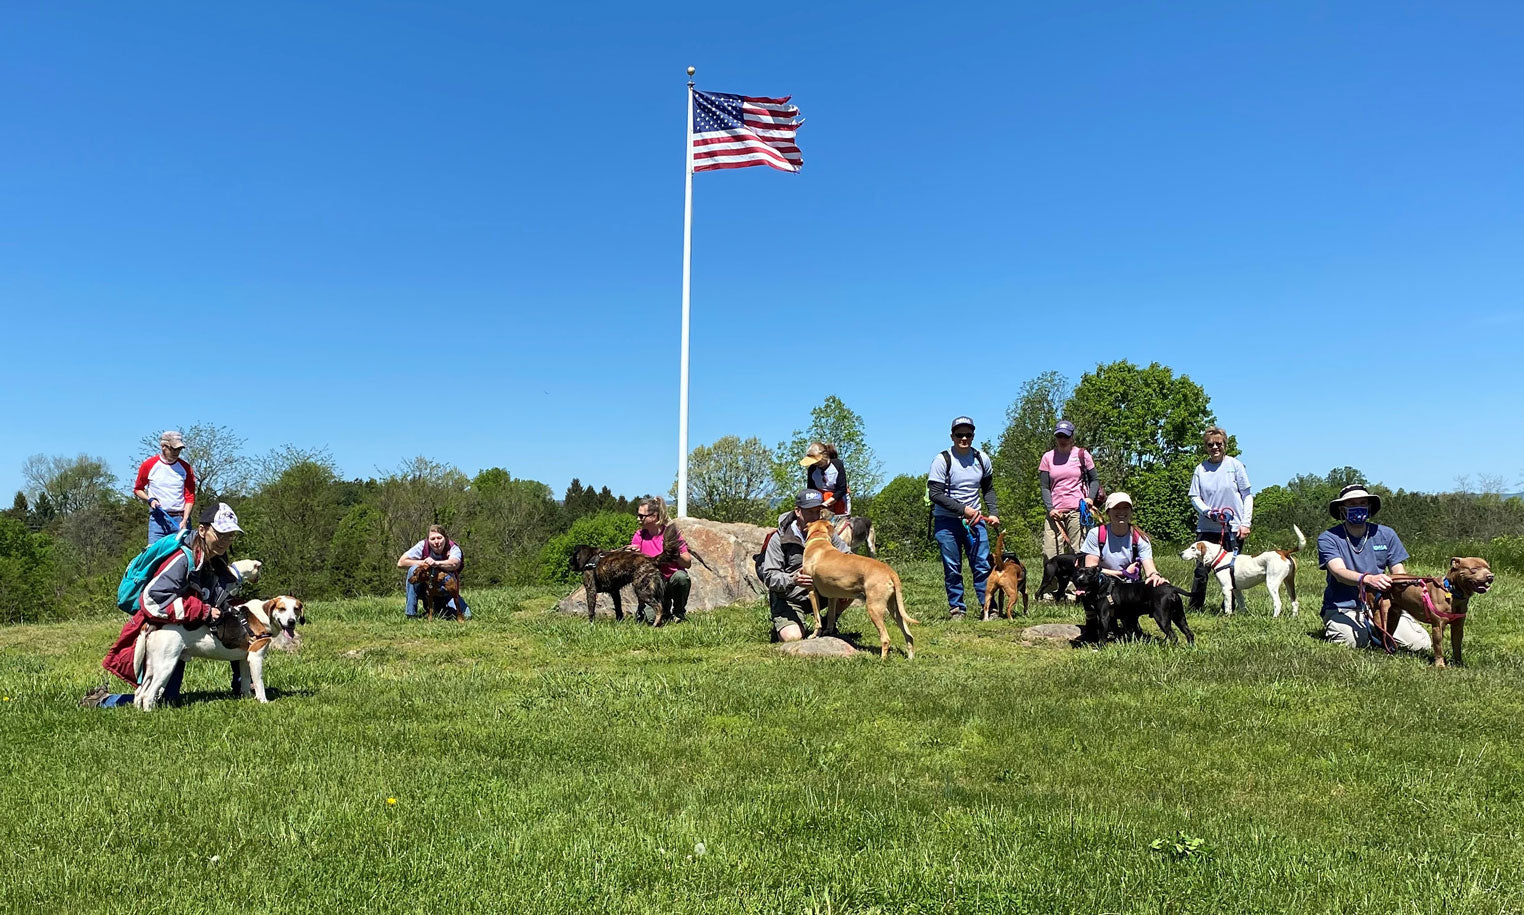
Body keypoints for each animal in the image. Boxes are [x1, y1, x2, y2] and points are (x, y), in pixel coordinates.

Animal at [135, 597, 304, 710]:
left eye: (296, 609)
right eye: (281, 608)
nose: (291, 622)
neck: (262, 616)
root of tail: (155, 623)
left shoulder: (245, 659)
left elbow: (245, 682)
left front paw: (248, 698)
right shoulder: (256, 657)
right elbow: (259, 683)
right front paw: (263, 702)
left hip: (152, 668)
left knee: (139, 692)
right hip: (166, 666)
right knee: (148, 695)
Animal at [798, 515, 914, 658]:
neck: (818, 539)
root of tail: (889, 570)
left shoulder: (812, 591)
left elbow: (817, 619)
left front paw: (814, 635)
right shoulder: (832, 596)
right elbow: (830, 617)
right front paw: (828, 632)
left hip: (874, 608)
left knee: (886, 638)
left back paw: (882, 659)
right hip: (894, 608)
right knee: (908, 635)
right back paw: (910, 657)